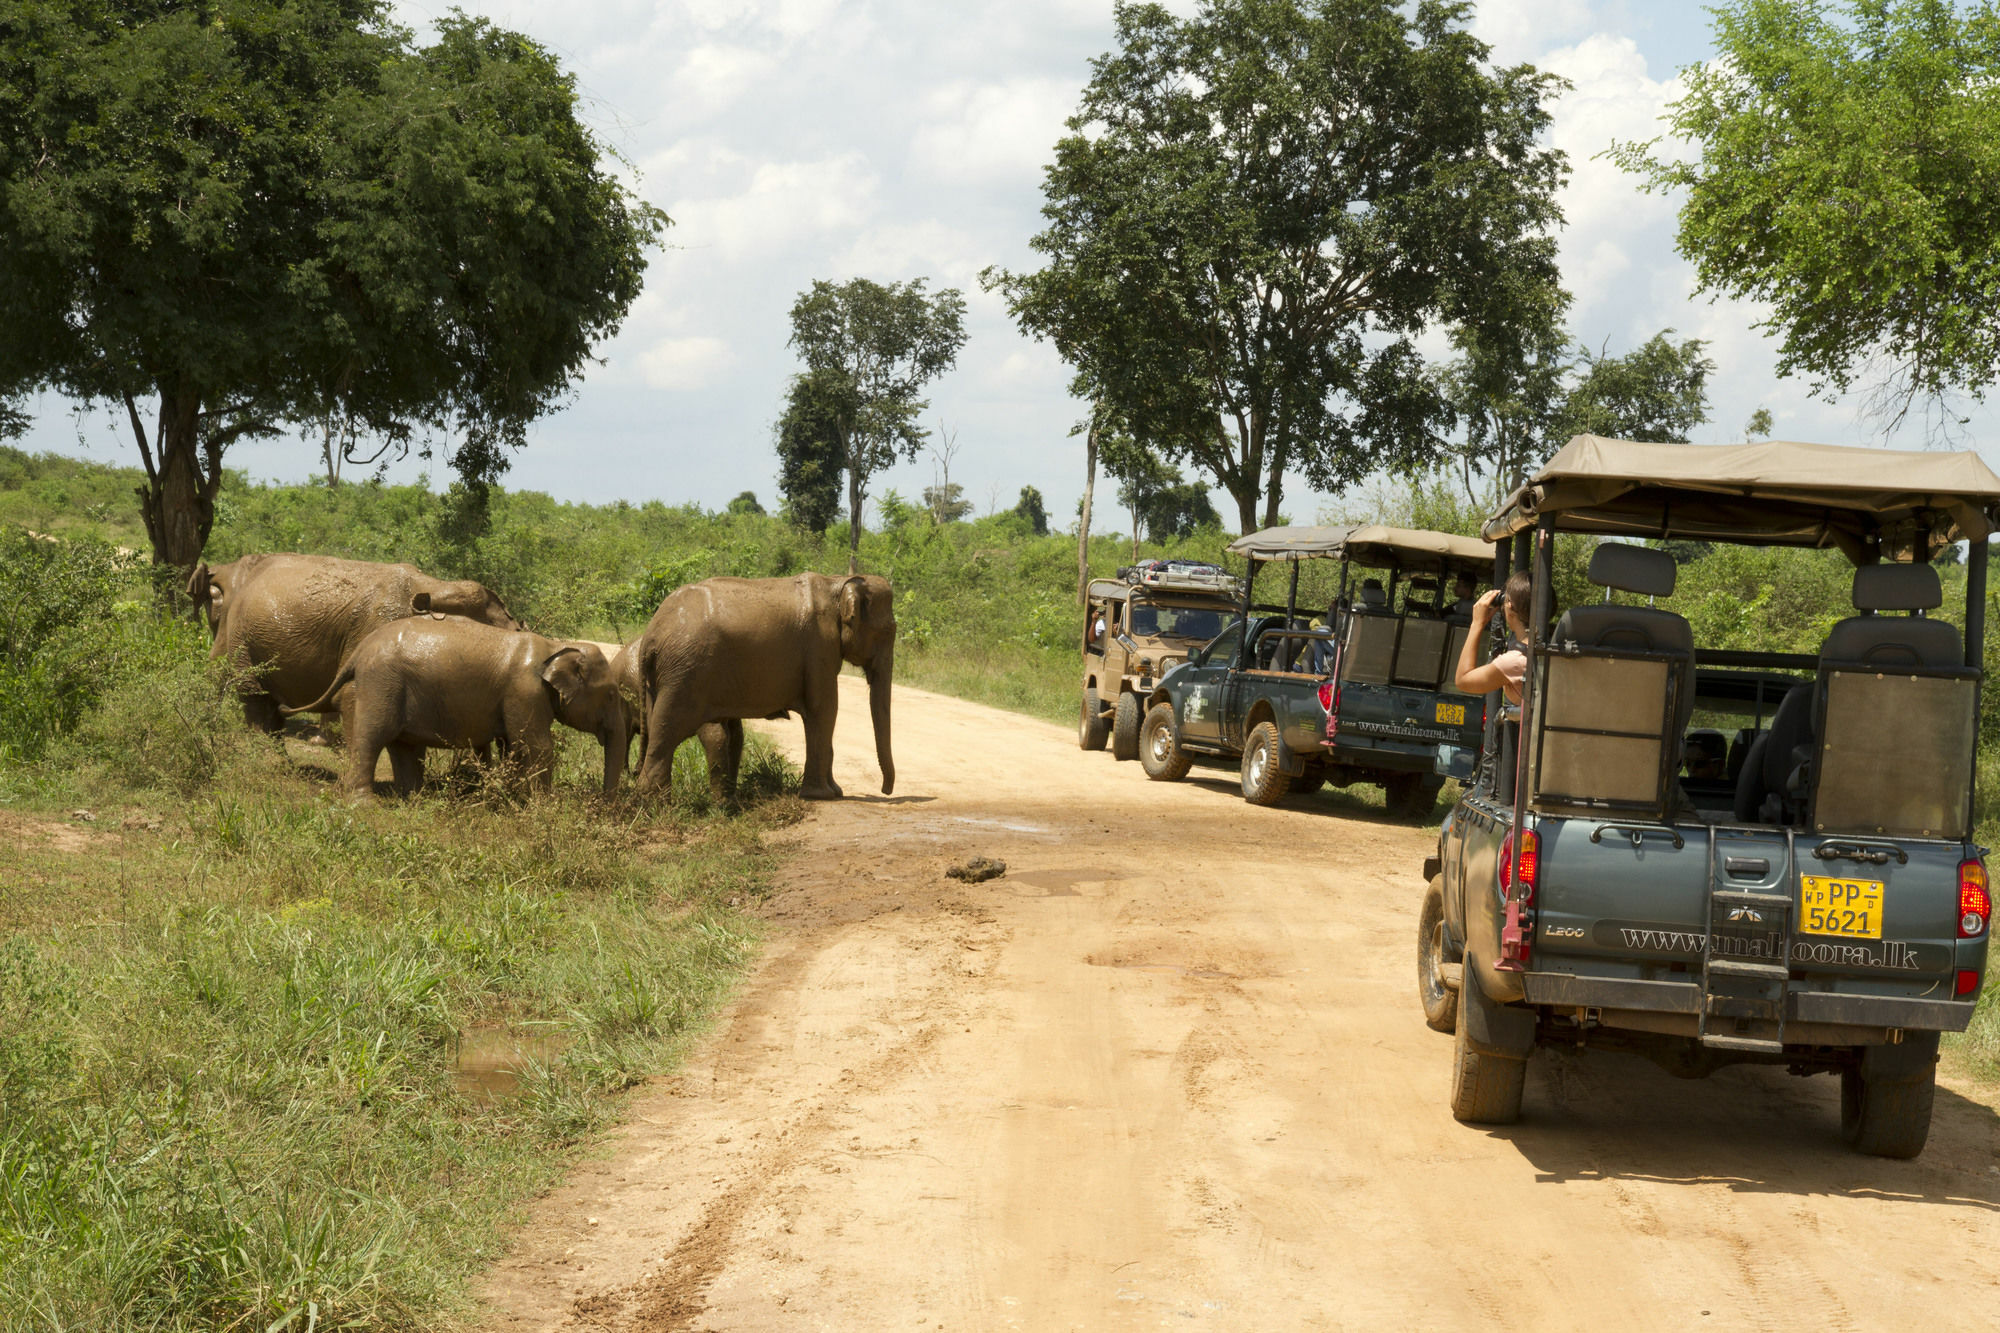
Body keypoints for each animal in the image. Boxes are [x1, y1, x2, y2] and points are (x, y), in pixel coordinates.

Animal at [286, 616, 628, 792]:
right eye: (611, 694)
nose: (604, 805)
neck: (556, 645)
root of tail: (361, 648)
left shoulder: (517, 697)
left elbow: (512, 746)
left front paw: (510, 797)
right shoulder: (525, 691)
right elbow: (537, 747)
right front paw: (543, 807)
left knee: (404, 745)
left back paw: (414, 798)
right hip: (381, 683)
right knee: (372, 737)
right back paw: (364, 803)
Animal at [636, 572, 896, 800]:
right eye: (887, 631)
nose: (885, 791)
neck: (838, 582)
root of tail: (650, 636)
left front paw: (835, 792)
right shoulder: (820, 647)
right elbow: (824, 709)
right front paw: (824, 796)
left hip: (662, 679)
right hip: (683, 674)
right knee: (667, 732)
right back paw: (657, 805)